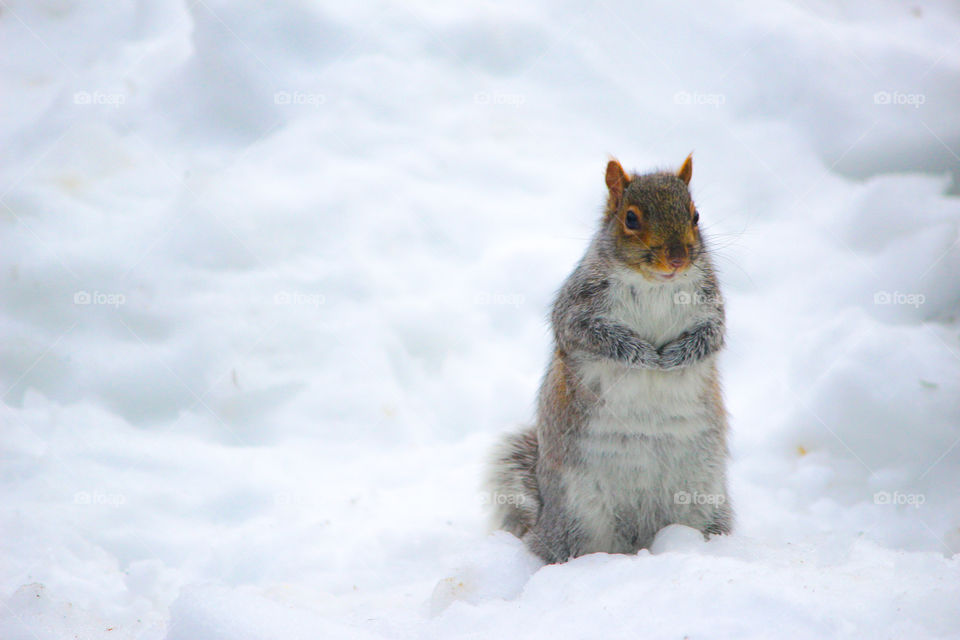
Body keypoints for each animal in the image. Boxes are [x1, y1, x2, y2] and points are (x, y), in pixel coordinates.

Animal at [485, 155, 732, 563]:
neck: (654, 284)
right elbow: (590, 335)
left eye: (695, 215)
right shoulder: (577, 308)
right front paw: (643, 355)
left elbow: (711, 338)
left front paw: (676, 356)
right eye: (630, 218)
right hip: (578, 515)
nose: (678, 259)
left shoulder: (710, 306)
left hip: (703, 502)